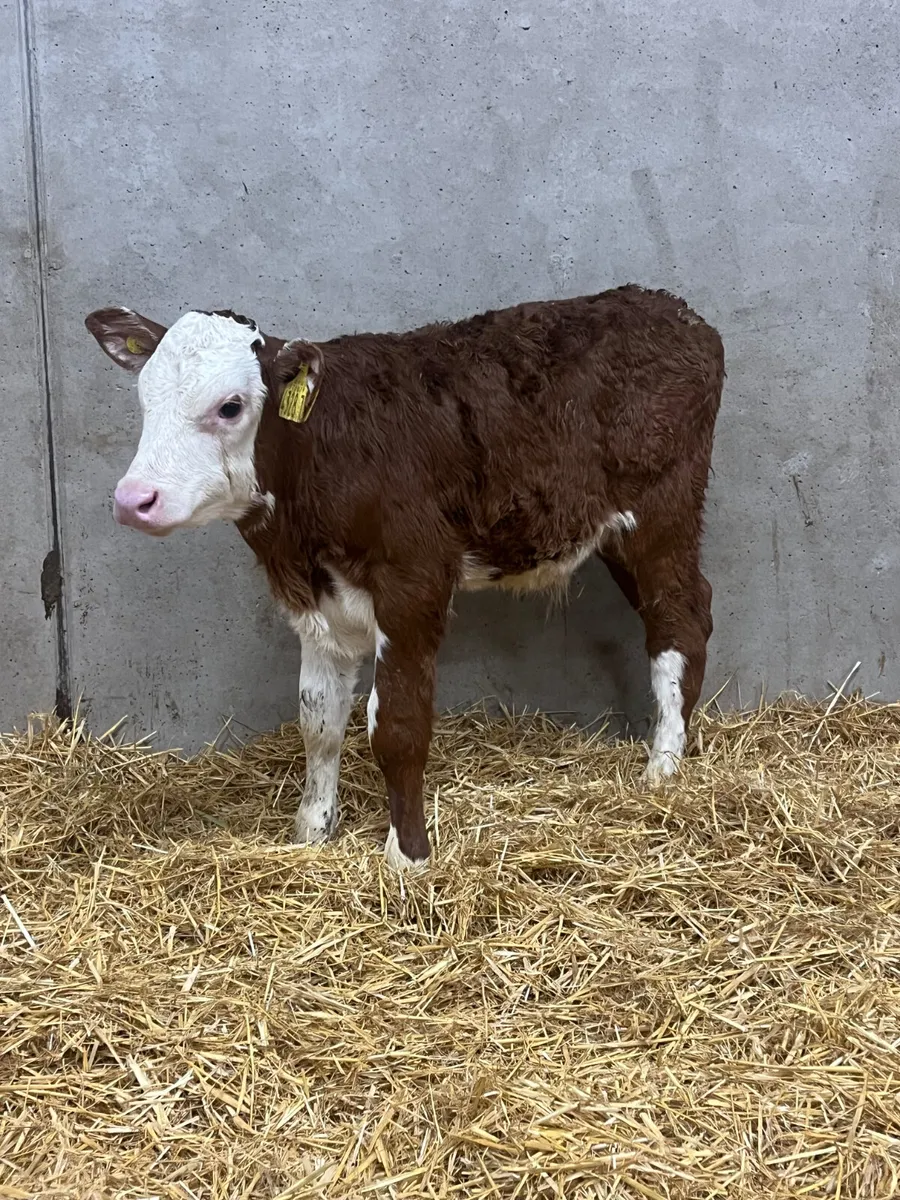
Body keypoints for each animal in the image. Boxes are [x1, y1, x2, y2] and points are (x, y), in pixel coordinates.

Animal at [85, 285, 724, 871]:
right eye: (145, 398)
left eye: (230, 406)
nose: (134, 499)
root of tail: (673, 309)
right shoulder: (316, 599)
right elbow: (318, 718)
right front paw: (312, 832)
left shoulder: (414, 580)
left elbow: (397, 722)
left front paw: (408, 858)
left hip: (660, 513)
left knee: (680, 620)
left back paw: (663, 769)